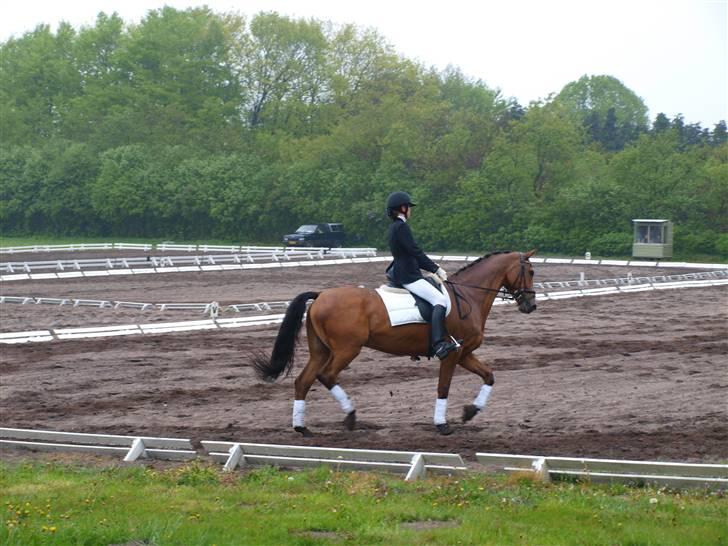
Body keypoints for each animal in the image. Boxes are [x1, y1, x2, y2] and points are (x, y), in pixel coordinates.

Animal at [253, 250, 536, 434]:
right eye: (531, 271)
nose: (530, 305)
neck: (468, 296)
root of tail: (321, 295)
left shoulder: (464, 353)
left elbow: (489, 376)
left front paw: (470, 412)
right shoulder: (452, 354)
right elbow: (443, 388)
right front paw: (442, 425)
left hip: (320, 350)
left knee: (303, 381)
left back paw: (302, 428)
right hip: (347, 349)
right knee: (327, 375)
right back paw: (350, 417)